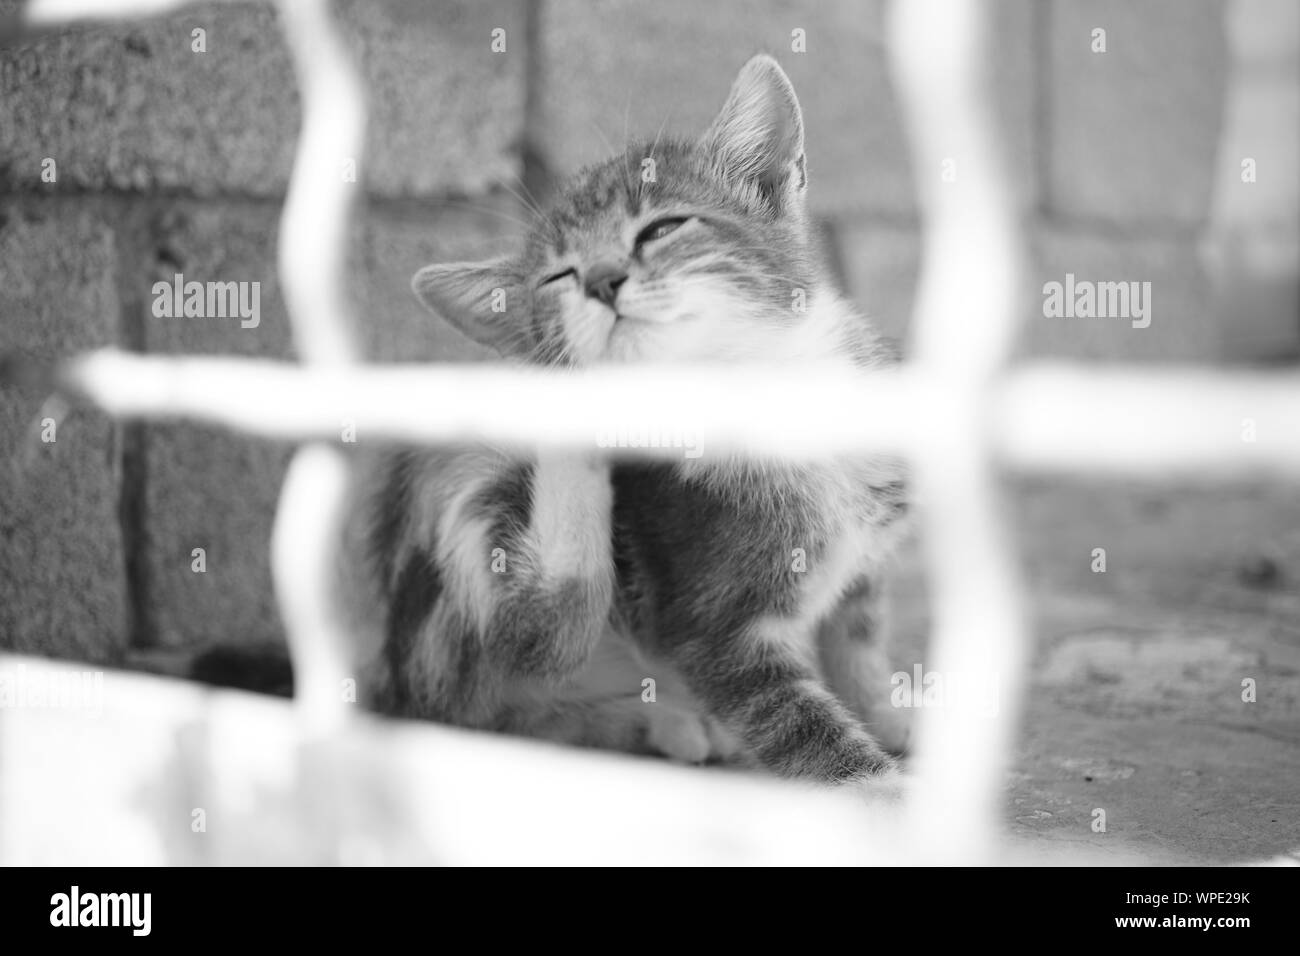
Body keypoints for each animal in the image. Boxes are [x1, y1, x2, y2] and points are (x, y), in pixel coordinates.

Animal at [340, 52, 909, 785]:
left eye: (662, 229)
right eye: (558, 277)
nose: (601, 281)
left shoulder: (866, 560)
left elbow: (858, 635)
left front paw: (886, 710)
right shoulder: (713, 627)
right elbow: (806, 730)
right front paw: (880, 786)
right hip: (465, 507)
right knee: (535, 638)